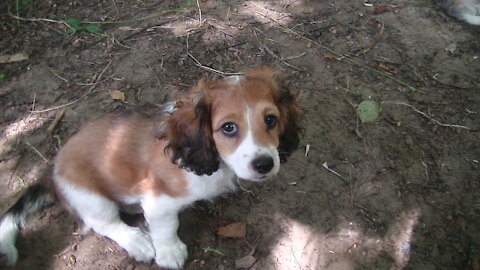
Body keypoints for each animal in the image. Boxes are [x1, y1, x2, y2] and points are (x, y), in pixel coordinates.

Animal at [0, 65, 302, 268]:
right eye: (228, 127)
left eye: (271, 120)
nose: (264, 164)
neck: (212, 162)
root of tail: (52, 176)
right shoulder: (159, 198)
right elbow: (166, 225)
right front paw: (169, 252)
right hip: (91, 198)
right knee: (106, 224)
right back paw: (138, 241)